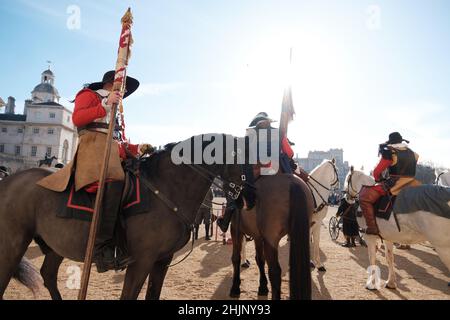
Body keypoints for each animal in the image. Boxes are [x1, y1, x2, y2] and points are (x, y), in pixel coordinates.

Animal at [0, 134, 248, 300]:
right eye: (239, 154)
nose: (250, 196)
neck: (164, 188)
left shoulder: (162, 260)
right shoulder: (141, 261)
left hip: (57, 244)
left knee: (48, 274)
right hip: (13, 244)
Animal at [229, 172, 312, 300]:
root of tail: (292, 183)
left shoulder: (235, 230)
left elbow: (236, 258)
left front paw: (235, 287)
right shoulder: (258, 236)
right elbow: (260, 259)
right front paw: (263, 287)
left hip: (271, 239)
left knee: (275, 271)